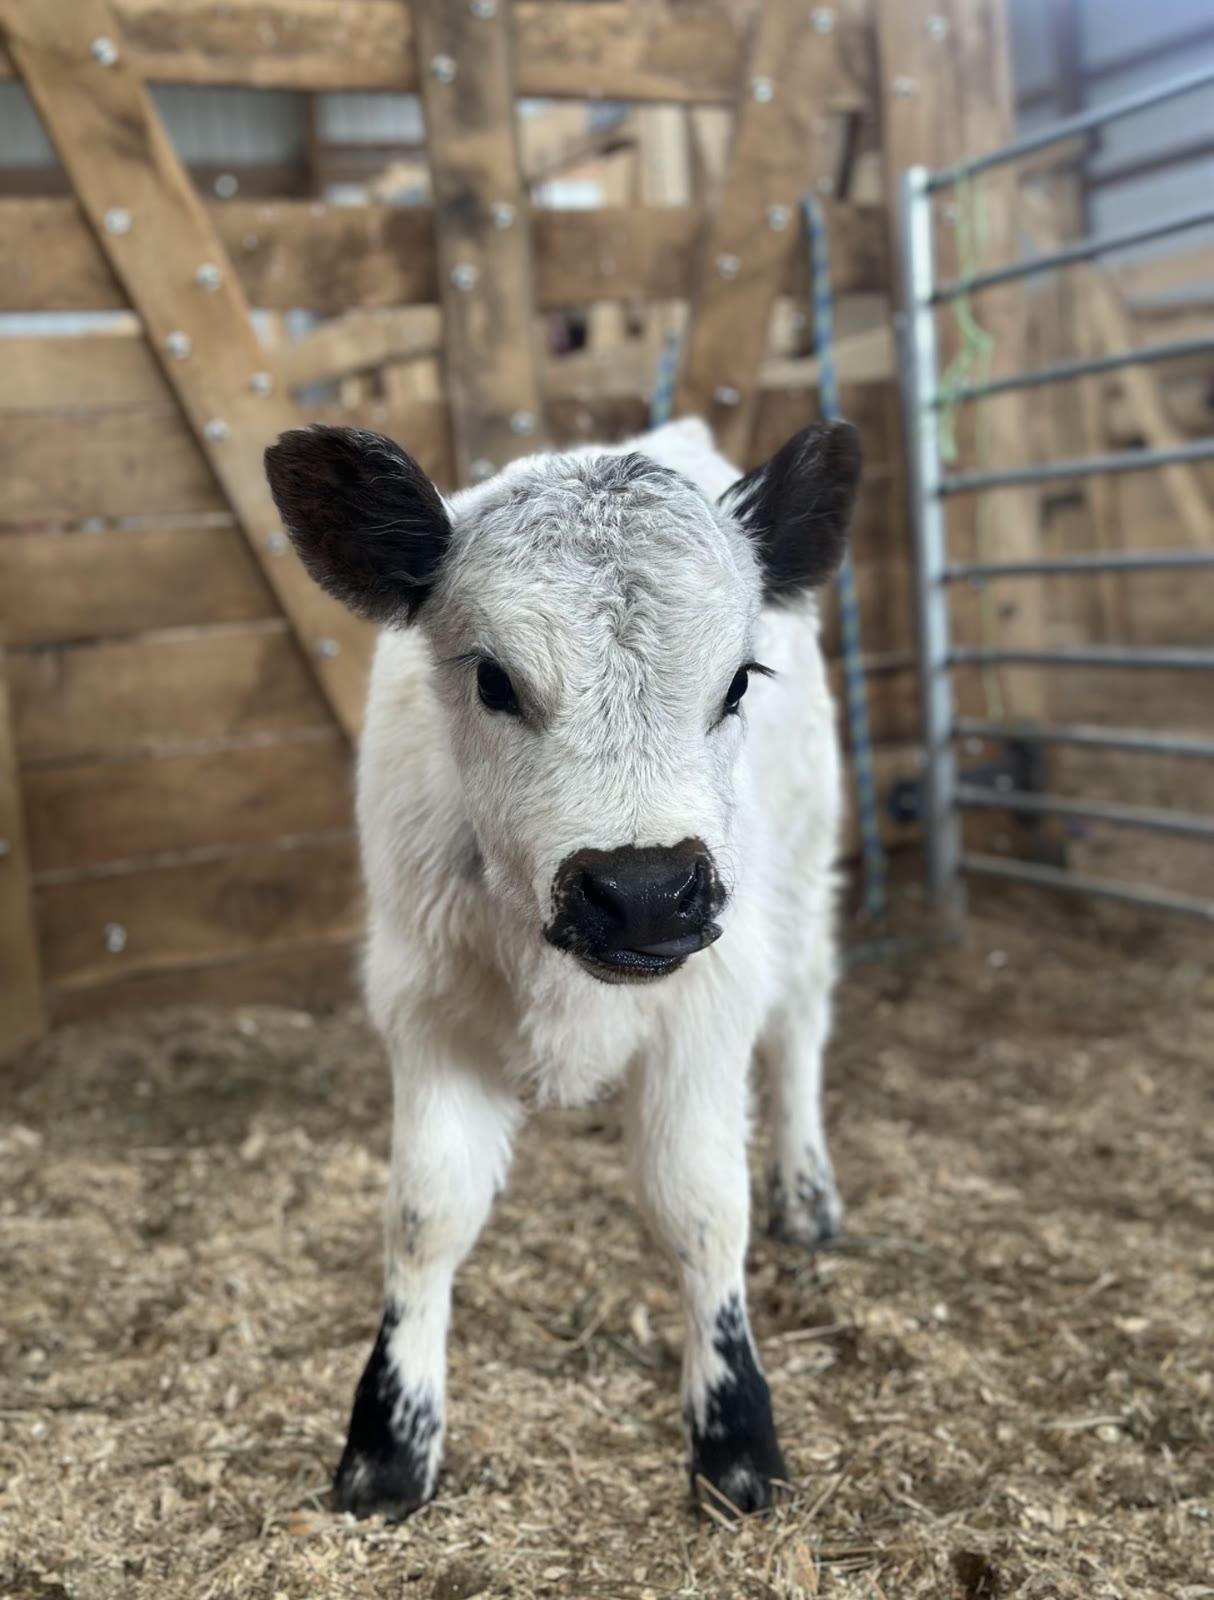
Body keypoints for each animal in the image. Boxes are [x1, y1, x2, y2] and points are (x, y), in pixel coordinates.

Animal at [264, 412, 859, 1521]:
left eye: (738, 680)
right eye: (493, 678)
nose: (644, 889)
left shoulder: (706, 1009)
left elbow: (700, 1205)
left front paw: (737, 1440)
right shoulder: (424, 1007)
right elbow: (426, 1212)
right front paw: (386, 1446)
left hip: (804, 870)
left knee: (802, 1020)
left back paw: (807, 1191)